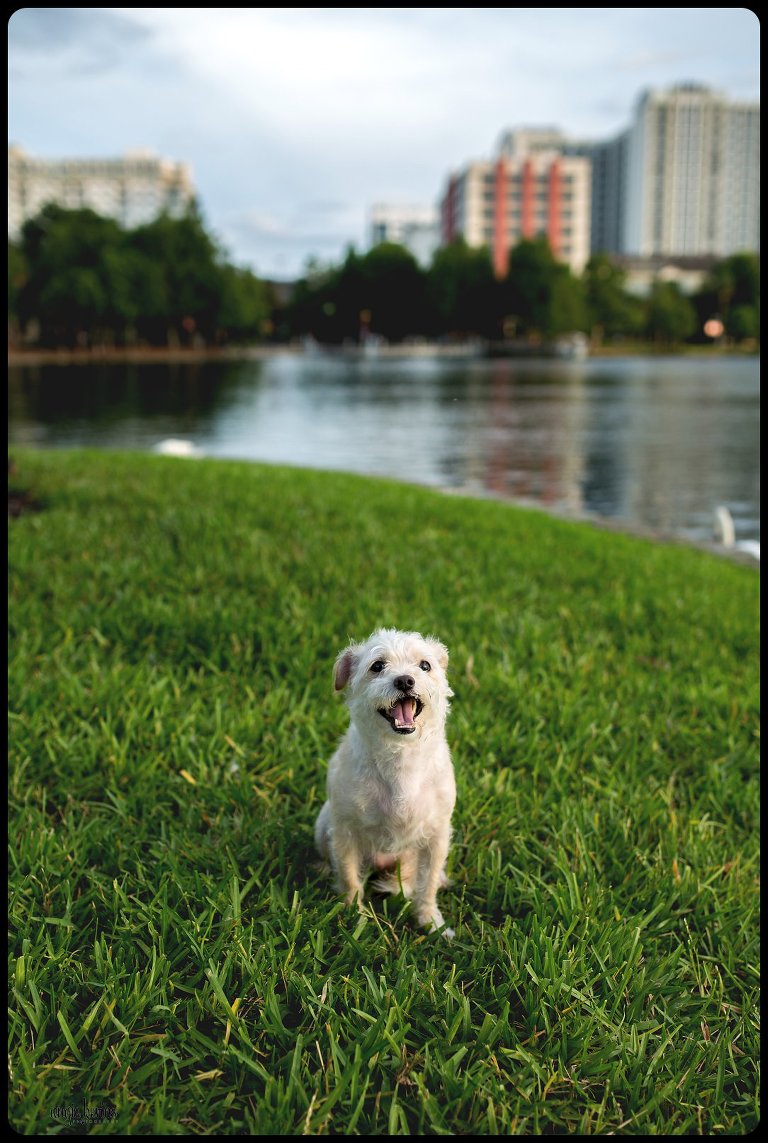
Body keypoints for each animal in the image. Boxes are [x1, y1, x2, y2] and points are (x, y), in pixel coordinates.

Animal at [313, 626, 457, 937]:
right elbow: (349, 878)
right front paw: (355, 918)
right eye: (377, 666)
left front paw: (431, 922)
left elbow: (427, 885)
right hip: (323, 823)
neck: (401, 755)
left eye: (425, 665)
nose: (404, 680)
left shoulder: (437, 836)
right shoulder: (344, 832)